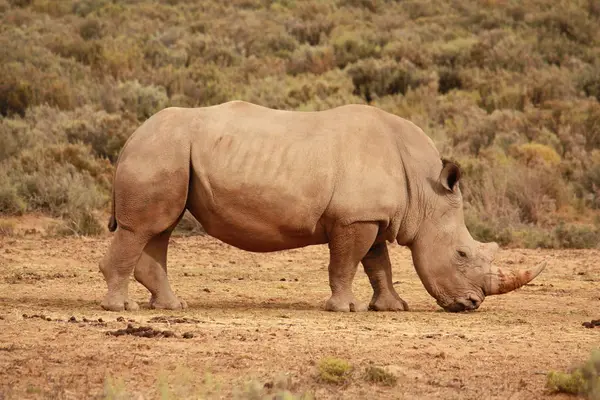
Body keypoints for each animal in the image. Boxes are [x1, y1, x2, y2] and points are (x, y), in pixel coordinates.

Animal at [97, 100, 544, 312]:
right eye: (462, 254)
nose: (472, 305)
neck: (425, 190)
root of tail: (131, 137)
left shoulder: (372, 215)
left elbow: (378, 264)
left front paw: (392, 308)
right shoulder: (353, 218)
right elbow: (346, 263)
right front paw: (344, 308)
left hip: (168, 153)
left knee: (160, 229)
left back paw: (171, 306)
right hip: (161, 150)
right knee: (145, 228)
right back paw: (123, 308)